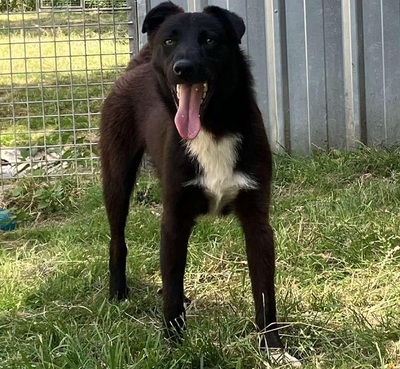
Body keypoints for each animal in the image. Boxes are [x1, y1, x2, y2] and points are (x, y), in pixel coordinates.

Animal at [100, 1, 300, 366]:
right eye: (169, 41)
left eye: (209, 40)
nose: (183, 68)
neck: (212, 128)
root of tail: (137, 65)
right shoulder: (175, 219)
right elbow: (172, 286)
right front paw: (173, 343)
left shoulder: (258, 223)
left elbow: (265, 292)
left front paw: (274, 349)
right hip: (117, 178)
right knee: (117, 239)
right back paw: (118, 293)